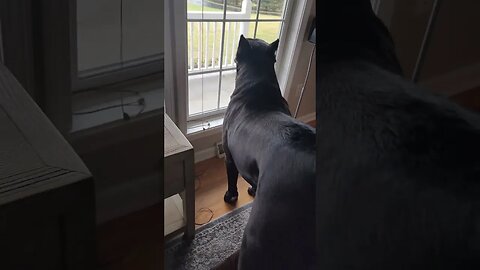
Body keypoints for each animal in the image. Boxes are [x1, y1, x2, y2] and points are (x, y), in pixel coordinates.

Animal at [223, 34, 316, 268]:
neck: (258, 86)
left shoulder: (229, 157)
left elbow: (231, 178)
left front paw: (231, 196)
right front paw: (252, 190)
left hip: (257, 237)